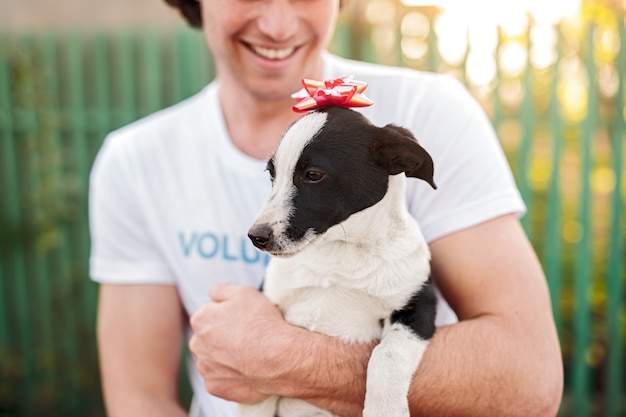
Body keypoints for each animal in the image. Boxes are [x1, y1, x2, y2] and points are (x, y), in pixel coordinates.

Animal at [241, 105, 436, 414]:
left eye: (313, 174)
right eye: (272, 173)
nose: (256, 236)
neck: (340, 252)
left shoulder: (418, 305)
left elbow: (387, 355)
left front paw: (385, 410)